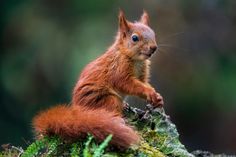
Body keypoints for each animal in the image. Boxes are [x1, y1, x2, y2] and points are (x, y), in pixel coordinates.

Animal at [32, 10, 163, 148]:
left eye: (153, 33)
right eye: (134, 38)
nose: (153, 47)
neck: (135, 60)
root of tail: (79, 111)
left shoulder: (142, 75)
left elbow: (144, 83)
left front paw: (157, 96)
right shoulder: (118, 70)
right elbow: (129, 85)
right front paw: (149, 92)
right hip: (106, 100)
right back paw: (119, 120)